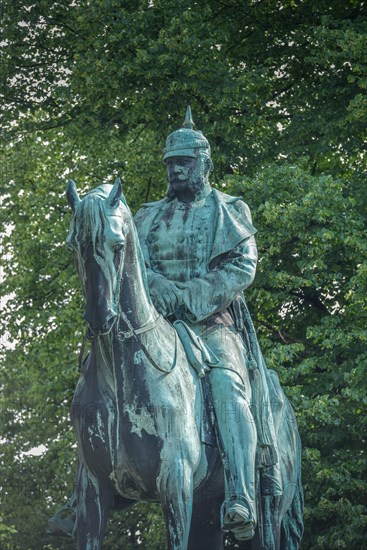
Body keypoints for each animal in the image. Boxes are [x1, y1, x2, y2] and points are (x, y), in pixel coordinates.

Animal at [65, 179, 304, 548]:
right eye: (73, 245)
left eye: (117, 244)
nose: (100, 317)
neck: (120, 376)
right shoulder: (93, 492)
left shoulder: (175, 483)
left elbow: (236, 264)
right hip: (207, 510)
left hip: (269, 511)